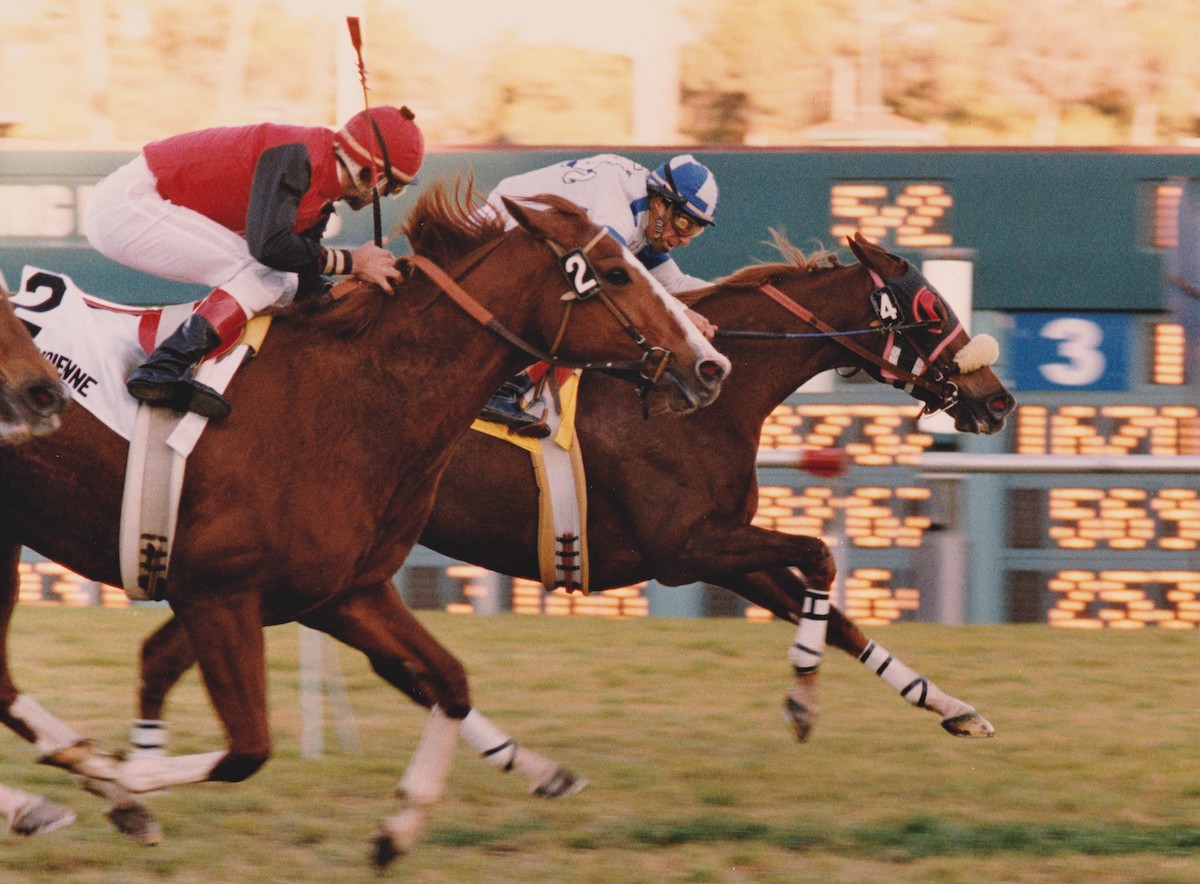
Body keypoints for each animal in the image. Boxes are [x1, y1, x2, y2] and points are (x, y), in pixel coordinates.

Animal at [126, 232, 1012, 801]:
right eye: (930, 309)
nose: (998, 399)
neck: (715, 392)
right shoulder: (688, 546)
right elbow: (821, 558)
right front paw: (800, 701)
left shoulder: (719, 547)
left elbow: (831, 612)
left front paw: (954, 708)